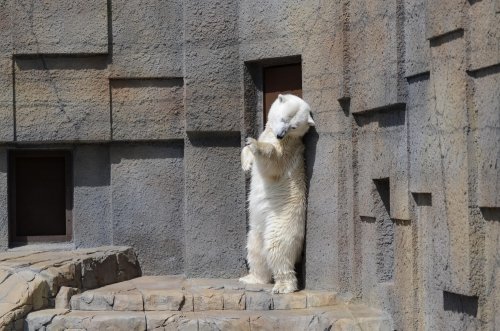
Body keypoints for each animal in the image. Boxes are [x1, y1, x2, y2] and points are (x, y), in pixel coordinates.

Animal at [238, 94, 312, 294]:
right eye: (284, 119)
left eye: (294, 126)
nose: (280, 134)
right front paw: (246, 163)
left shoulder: (289, 150)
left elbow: (274, 160)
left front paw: (256, 145)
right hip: (258, 227)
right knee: (255, 247)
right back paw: (251, 278)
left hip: (283, 220)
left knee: (277, 248)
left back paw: (283, 286)